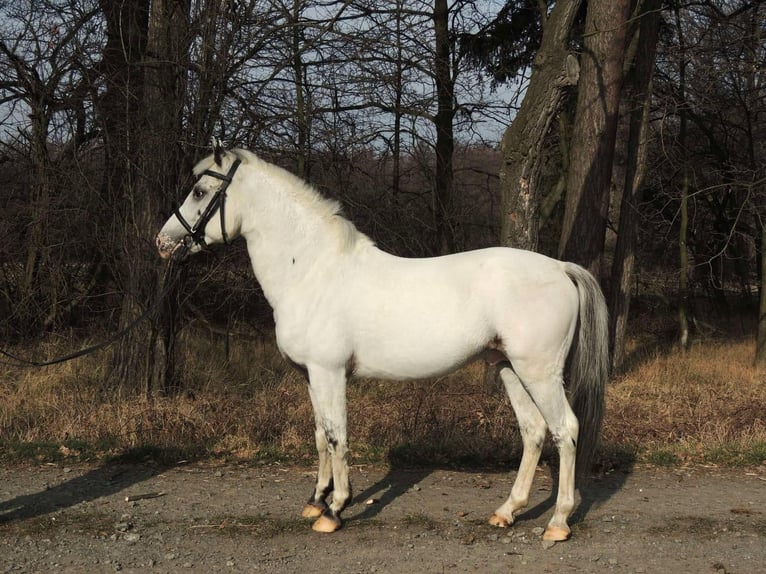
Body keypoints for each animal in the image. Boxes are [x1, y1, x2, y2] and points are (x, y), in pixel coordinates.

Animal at [158, 145, 612, 544]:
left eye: (199, 191)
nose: (163, 243)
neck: (311, 271)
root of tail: (560, 268)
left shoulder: (329, 372)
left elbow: (337, 436)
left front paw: (335, 510)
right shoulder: (311, 376)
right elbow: (320, 435)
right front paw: (315, 501)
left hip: (540, 373)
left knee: (565, 430)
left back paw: (557, 523)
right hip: (510, 369)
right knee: (534, 431)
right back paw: (506, 512)